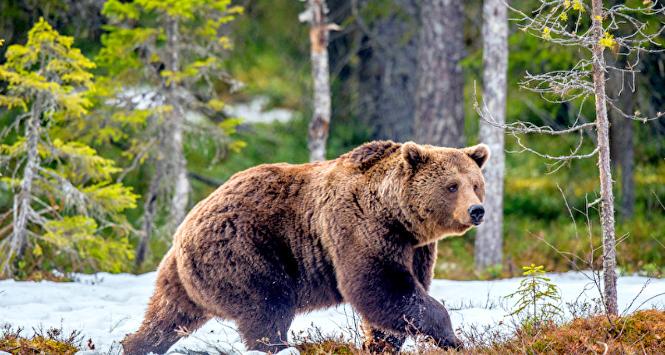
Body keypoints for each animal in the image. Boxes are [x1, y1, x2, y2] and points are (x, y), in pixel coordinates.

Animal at [122, 140, 490, 354]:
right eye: (452, 185)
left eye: (476, 184)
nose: (477, 210)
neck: (397, 215)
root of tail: (186, 223)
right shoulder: (360, 230)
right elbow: (381, 287)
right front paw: (452, 337)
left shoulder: (415, 248)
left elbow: (400, 297)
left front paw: (381, 343)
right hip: (246, 252)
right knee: (267, 307)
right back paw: (277, 346)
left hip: (182, 275)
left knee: (167, 315)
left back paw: (136, 344)